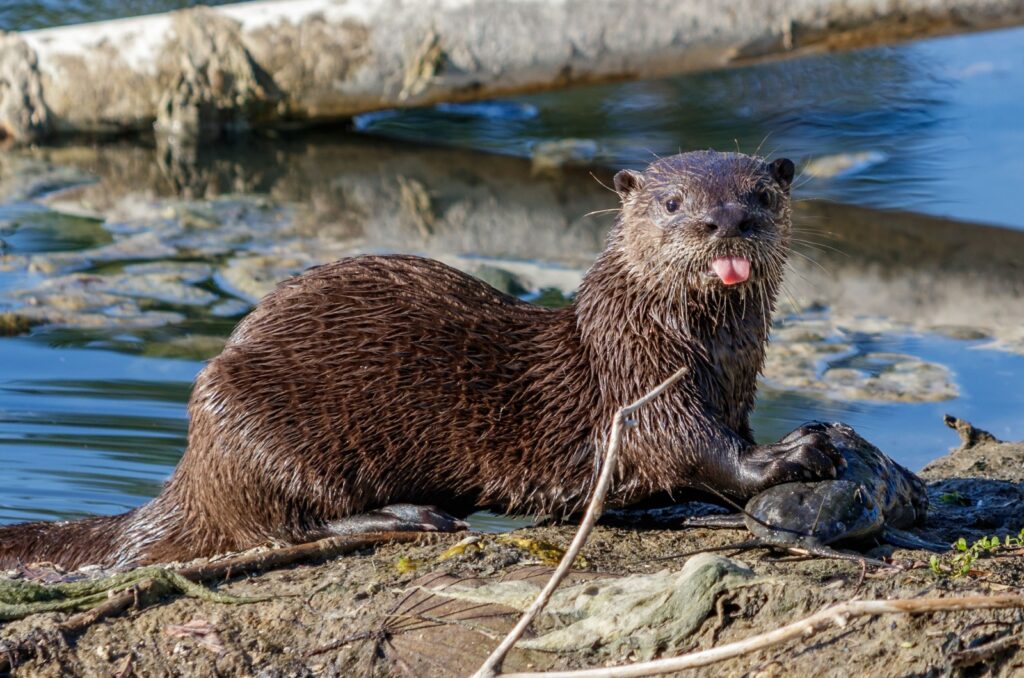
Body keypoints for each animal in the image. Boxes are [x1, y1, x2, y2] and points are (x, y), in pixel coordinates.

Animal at [0, 151, 839, 569]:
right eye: (670, 204)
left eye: (762, 194)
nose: (723, 221)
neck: (704, 354)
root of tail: (192, 469)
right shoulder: (642, 384)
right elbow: (696, 450)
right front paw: (794, 453)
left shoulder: (731, 389)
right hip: (251, 417)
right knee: (281, 528)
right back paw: (414, 514)